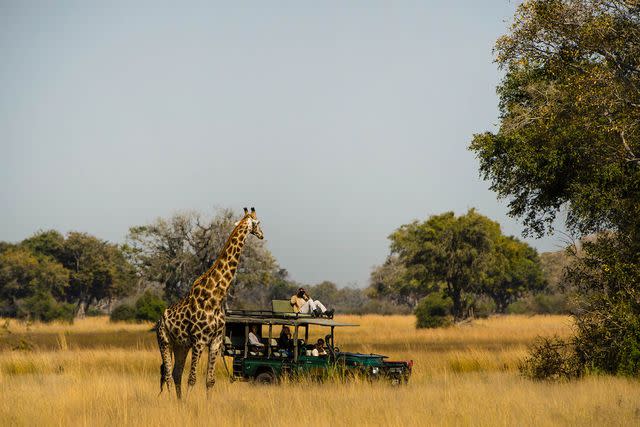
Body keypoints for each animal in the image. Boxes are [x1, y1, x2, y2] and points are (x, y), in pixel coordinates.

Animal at [156, 207, 264, 398]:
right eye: (257, 223)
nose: (262, 235)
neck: (215, 297)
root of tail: (159, 320)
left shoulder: (215, 342)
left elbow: (210, 381)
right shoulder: (199, 341)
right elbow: (192, 379)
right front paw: (189, 403)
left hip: (181, 345)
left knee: (176, 373)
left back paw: (178, 401)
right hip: (165, 341)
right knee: (167, 374)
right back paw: (170, 401)